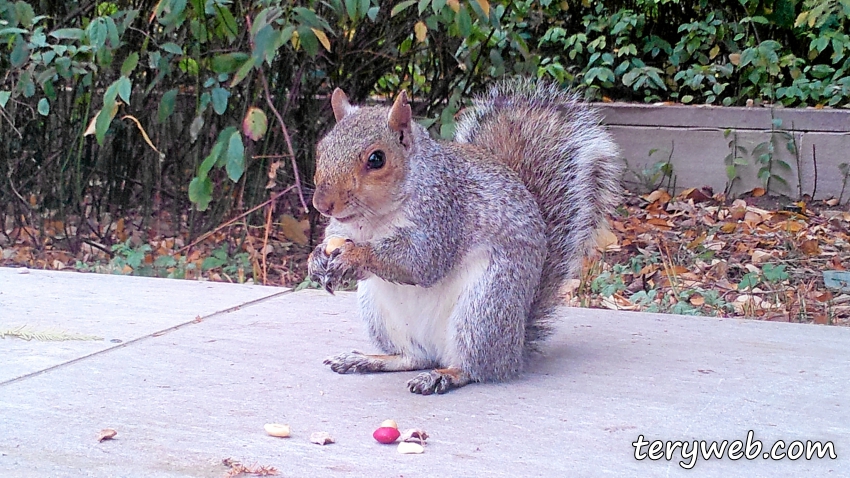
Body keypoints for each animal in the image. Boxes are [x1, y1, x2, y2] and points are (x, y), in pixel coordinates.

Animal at [308, 78, 620, 394]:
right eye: (321, 149)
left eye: (376, 159)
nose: (322, 204)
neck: (373, 220)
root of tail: (514, 351)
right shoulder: (342, 228)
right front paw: (316, 259)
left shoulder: (444, 214)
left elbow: (421, 262)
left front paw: (353, 256)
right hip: (379, 314)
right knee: (413, 357)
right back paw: (367, 360)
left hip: (483, 309)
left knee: (474, 368)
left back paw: (444, 375)